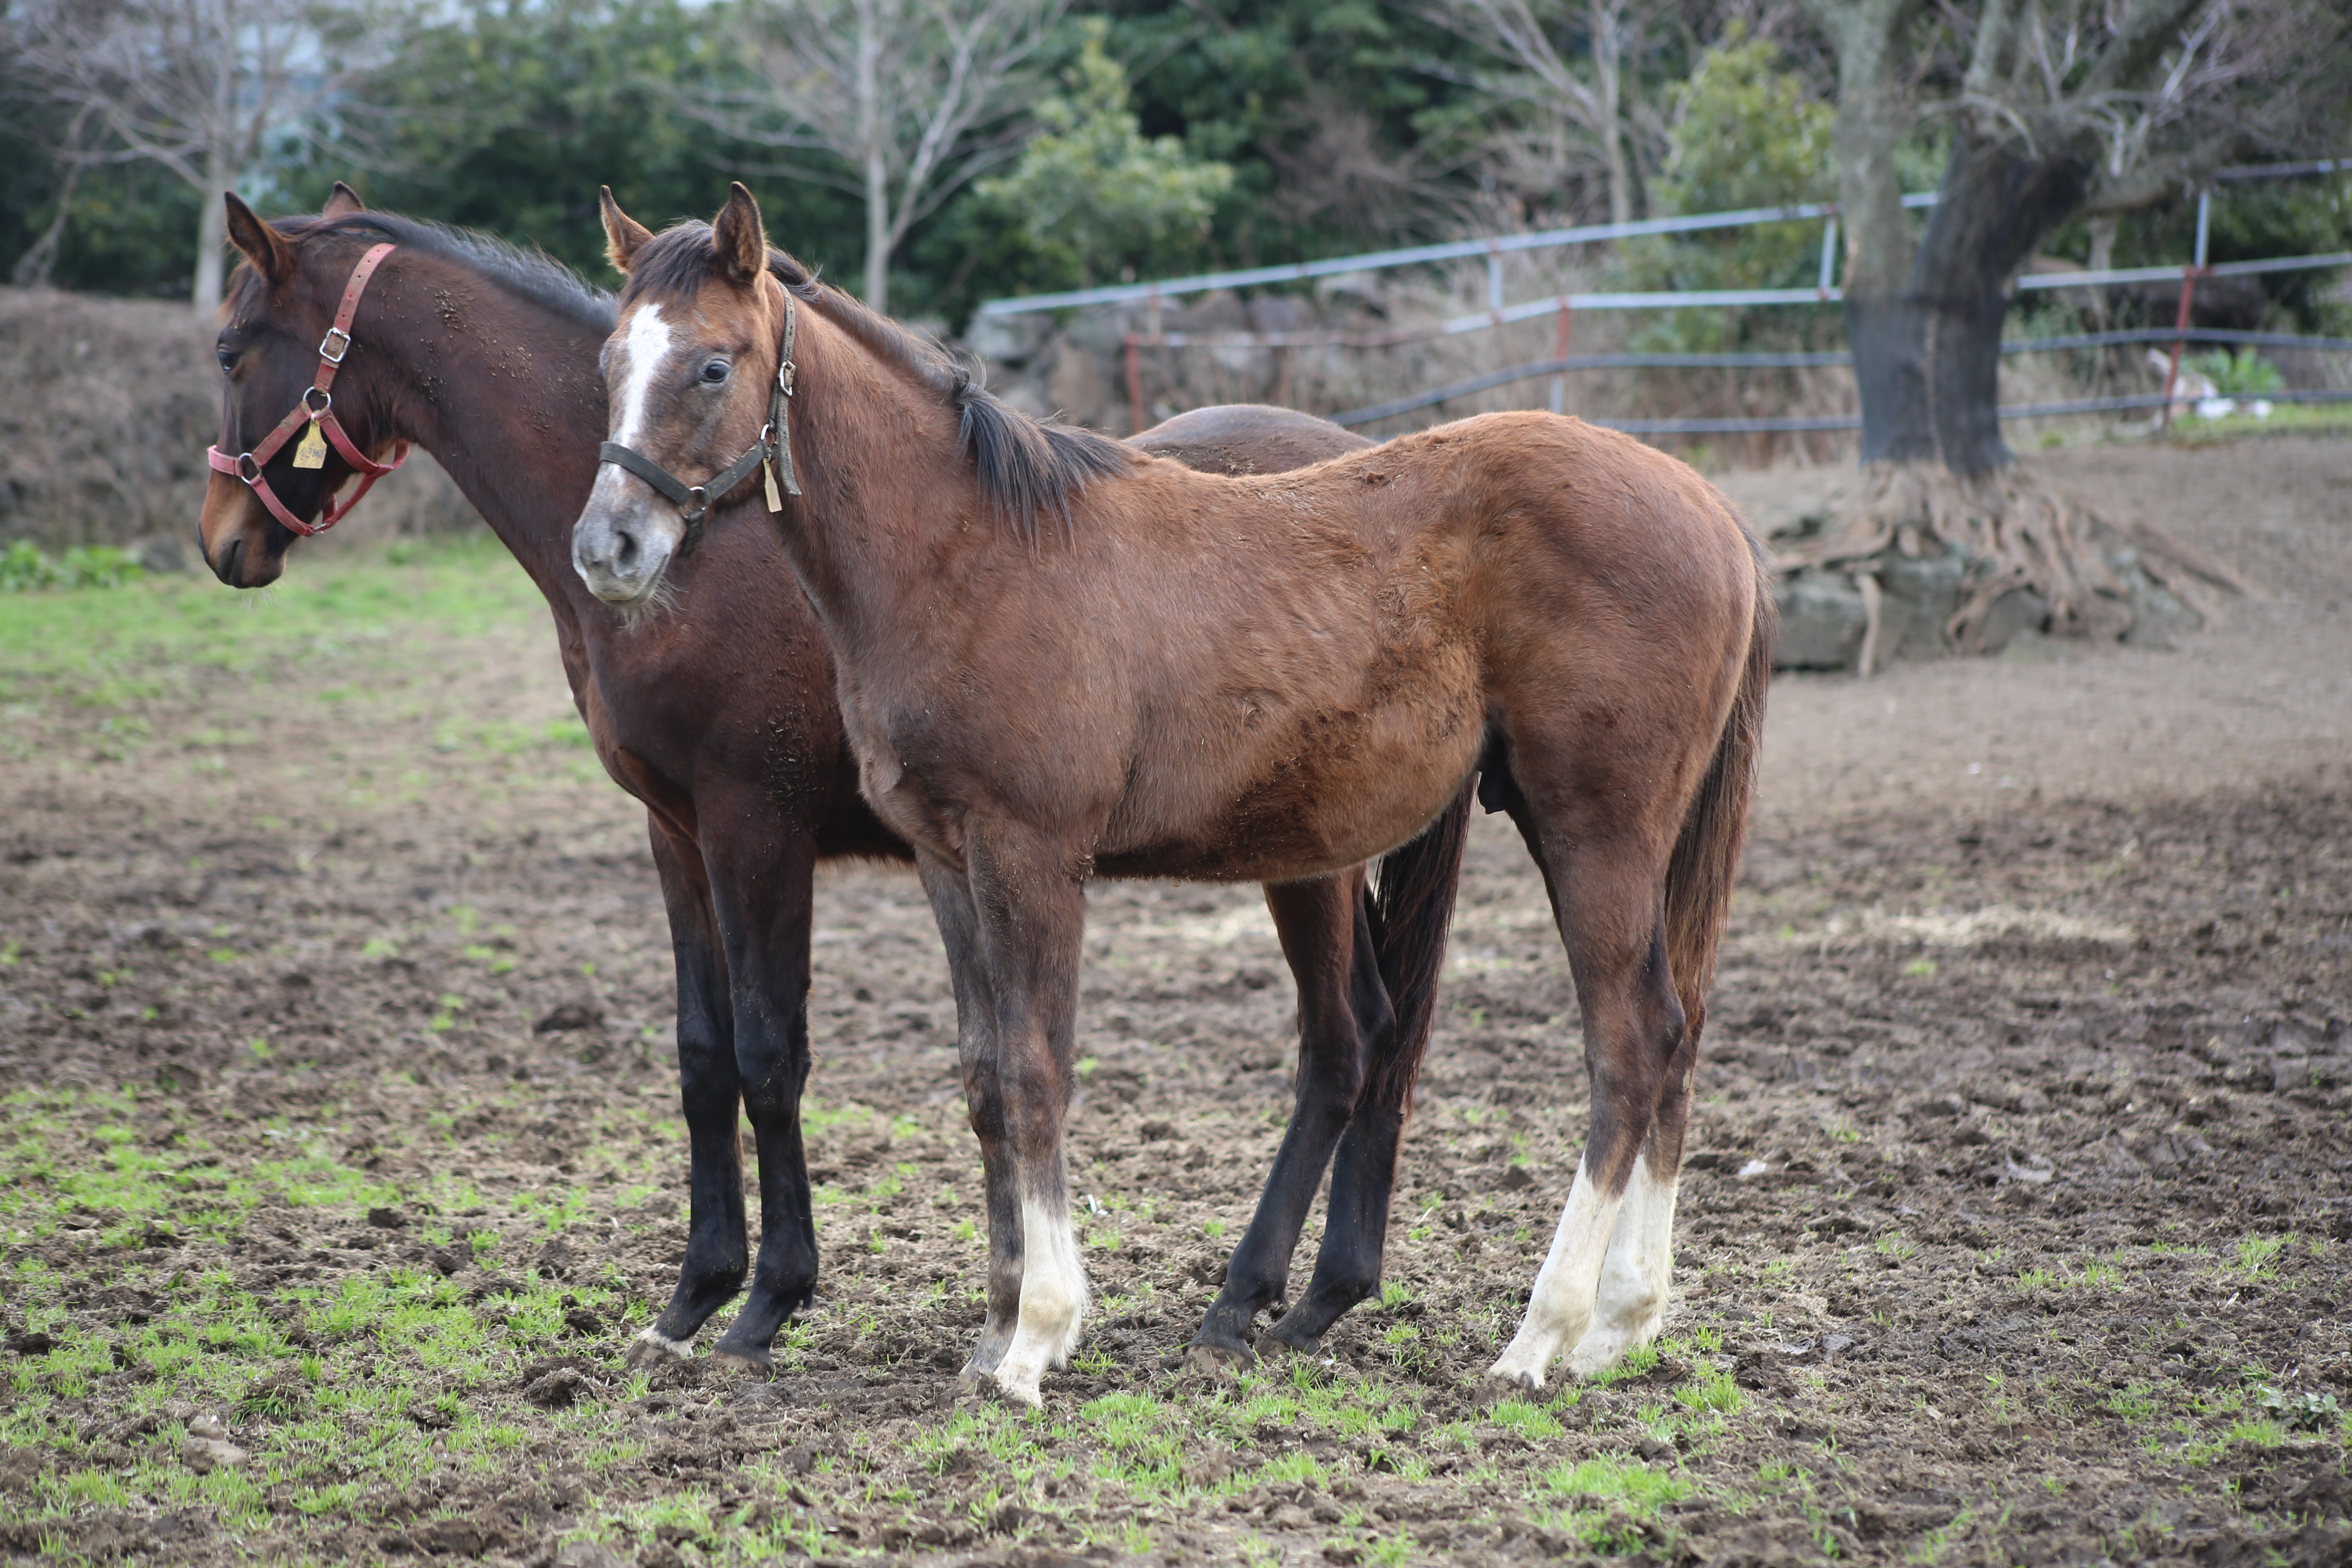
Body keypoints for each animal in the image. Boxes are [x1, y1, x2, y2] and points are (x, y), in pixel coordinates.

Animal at [197, 190, 1468, 1382]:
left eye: (228, 350)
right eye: (607, 368)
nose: (221, 540)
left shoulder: (756, 829)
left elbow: (771, 1054)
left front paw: (769, 1300)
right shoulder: (675, 833)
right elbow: (702, 1053)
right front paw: (692, 1296)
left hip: (1309, 853)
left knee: (1345, 1040)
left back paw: (1248, 1295)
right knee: (1377, 1033)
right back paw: (1322, 1292)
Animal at [578, 187, 1768, 1410]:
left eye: (712, 366)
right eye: (609, 362)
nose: (608, 547)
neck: (970, 556)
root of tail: (1709, 507)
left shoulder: (1032, 857)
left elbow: (1038, 1071)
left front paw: (1036, 1338)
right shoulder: (948, 862)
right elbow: (985, 1079)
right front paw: (992, 1331)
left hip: (1590, 831)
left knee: (1628, 1040)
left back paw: (1540, 1334)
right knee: (1668, 1036)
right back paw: (1619, 1323)